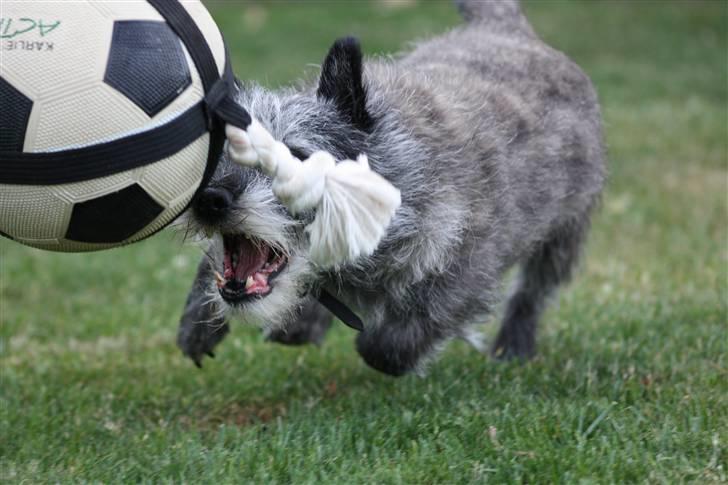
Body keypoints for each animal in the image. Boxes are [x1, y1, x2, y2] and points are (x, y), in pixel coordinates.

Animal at [178, 0, 608, 376]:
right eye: (214, 155)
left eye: (295, 158)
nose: (209, 200)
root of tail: (507, 30)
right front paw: (200, 321)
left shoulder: (469, 266)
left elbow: (398, 336)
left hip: (563, 235)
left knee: (532, 293)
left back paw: (514, 344)